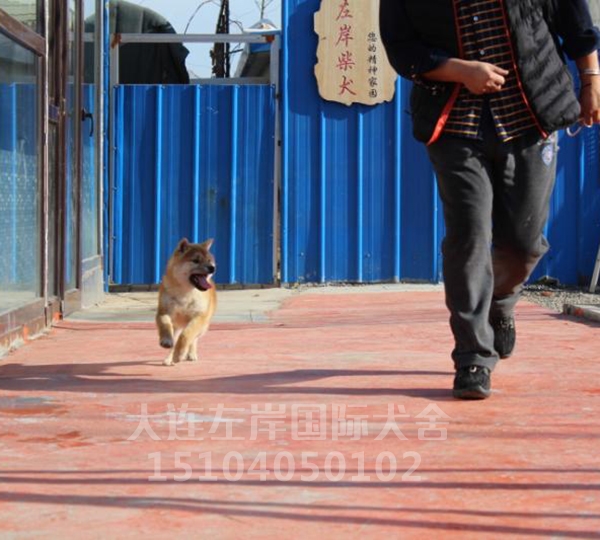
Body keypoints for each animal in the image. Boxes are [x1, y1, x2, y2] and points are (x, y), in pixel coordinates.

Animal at [156, 237, 217, 368]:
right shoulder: (163, 311)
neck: (185, 293)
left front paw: (179, 355)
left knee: (193, 339)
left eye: (209, 260)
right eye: (196, 260)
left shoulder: (198, 317)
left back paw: (190, 354)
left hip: (203, 326)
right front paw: (166, 340)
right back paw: (169, 358)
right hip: (177, 325)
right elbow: (165, 324)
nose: (212, 267)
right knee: (175, 338)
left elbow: (186, 335)